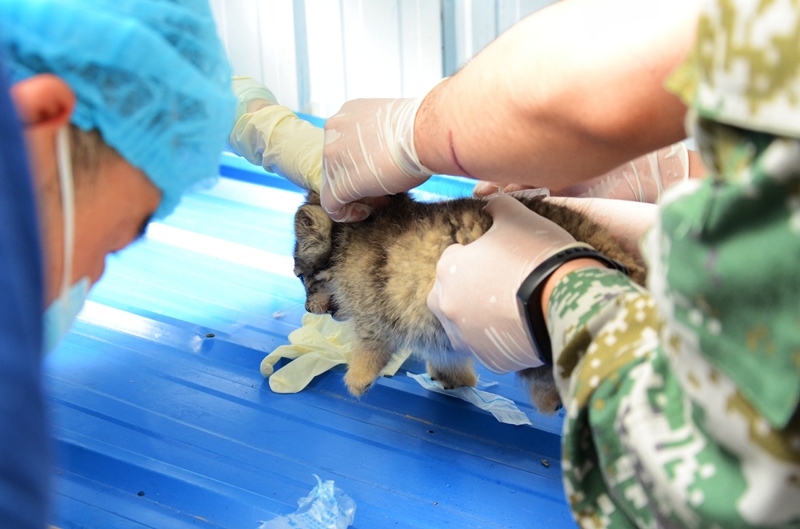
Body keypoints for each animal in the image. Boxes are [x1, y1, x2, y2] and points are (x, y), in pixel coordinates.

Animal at [290, 191, 648, 412]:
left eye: (300, 277)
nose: (307, 308)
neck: (348, 244)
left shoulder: (375, 311)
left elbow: (370, 344)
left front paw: (357, 378)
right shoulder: (437, 328)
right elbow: (446, 355)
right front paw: (456, 378)